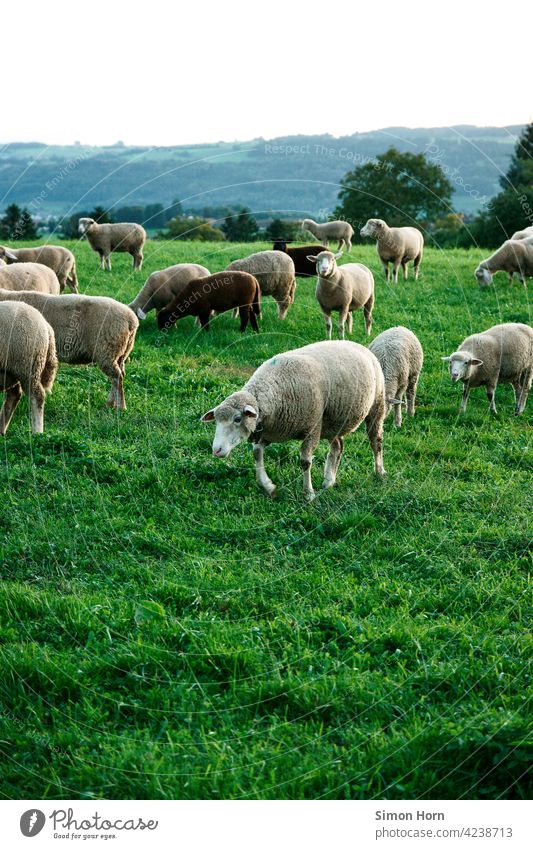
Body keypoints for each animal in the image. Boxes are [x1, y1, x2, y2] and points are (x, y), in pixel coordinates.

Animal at [0, 290, 137, 410]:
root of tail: (131, 320)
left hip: (107, 352)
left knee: (117, 376)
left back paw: (120, 407)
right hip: (120, 353)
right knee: (120, 374)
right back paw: (110, 403)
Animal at [0, 302, 57, 434]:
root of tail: (46, 325)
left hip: (28, 367)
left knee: (37, 396)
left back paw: (38, 432)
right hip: (11, 371)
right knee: (14, 395)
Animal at [200, 338, 386, 496]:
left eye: (237, 419)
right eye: (216, 421)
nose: (216, 450)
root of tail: (358, 344)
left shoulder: (312, 428)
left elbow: (305, 462)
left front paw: (308, 493)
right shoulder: (269, 433)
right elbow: (257, 453)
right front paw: (268, 486)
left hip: (376, 406)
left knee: (375, 440)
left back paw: (379, 471)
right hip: (333, 420)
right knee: (338, 446)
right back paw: (329, 481)